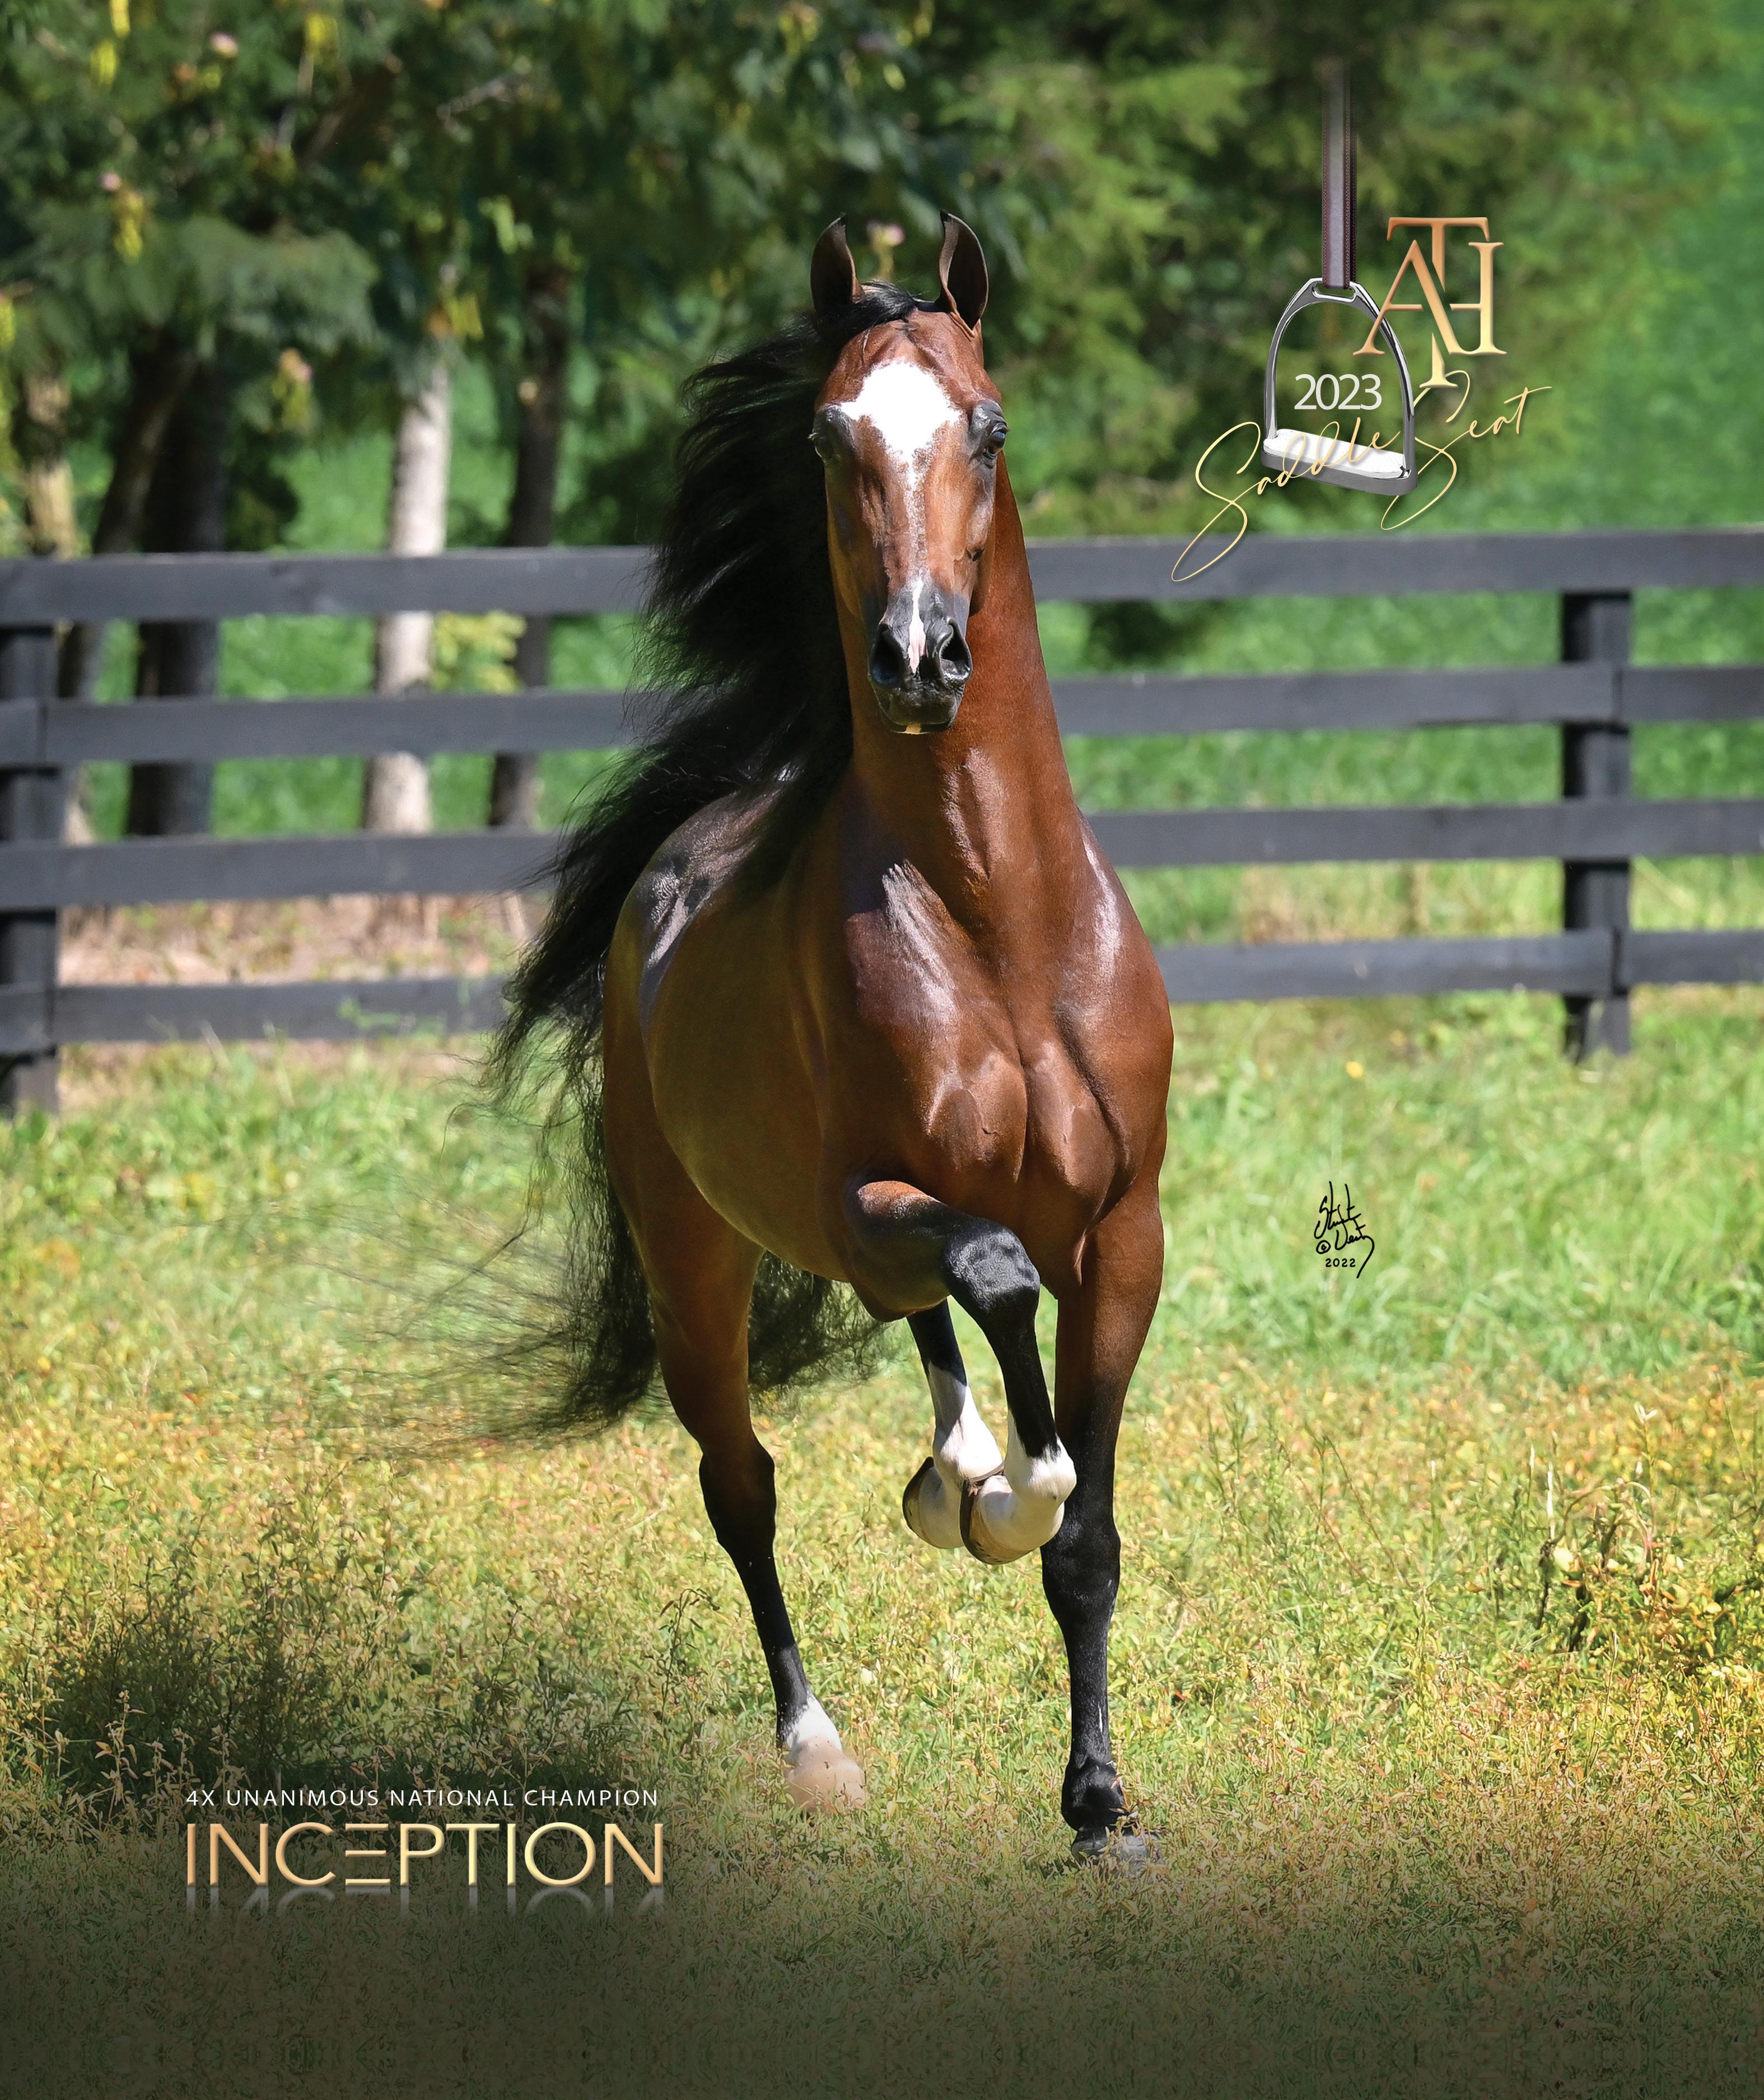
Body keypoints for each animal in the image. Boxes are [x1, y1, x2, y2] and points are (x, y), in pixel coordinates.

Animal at [493, 214, 1173, 1855]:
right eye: (827, 434)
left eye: (987, 426)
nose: (919, 657)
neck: (998, 927)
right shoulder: (866, 1198)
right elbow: (996, 1291)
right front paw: (1000, 1495)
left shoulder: (1124, 1235)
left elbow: (1091, 1535)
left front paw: (1100, 1803)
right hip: (698, 1258)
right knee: (743, 1478)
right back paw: (818, 1741)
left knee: (918, 1328)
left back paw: (956, 1472)